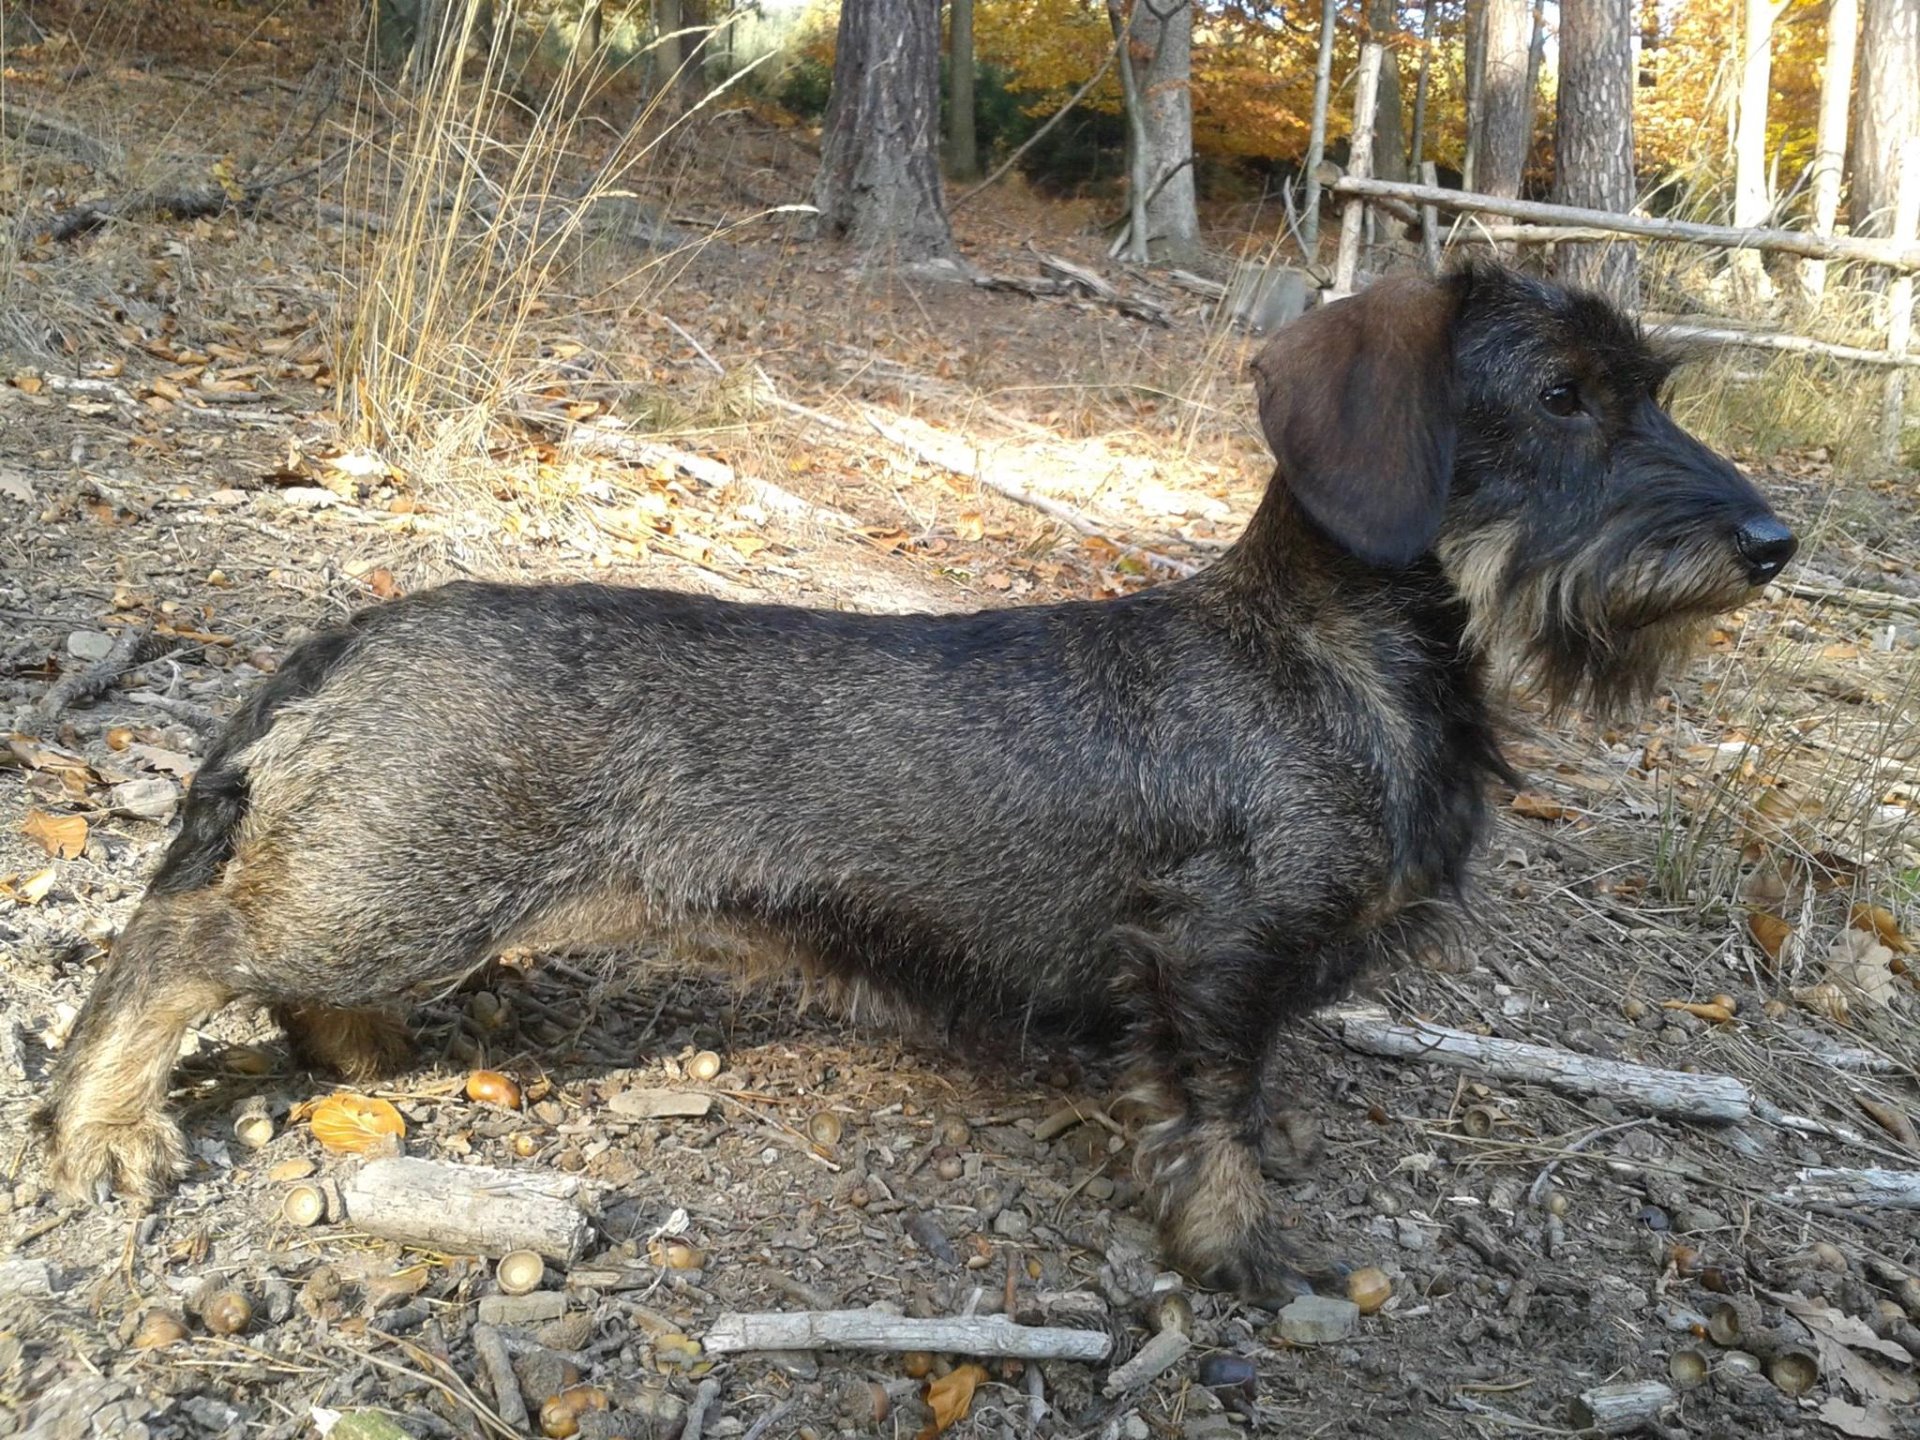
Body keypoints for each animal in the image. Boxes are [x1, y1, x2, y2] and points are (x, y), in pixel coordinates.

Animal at [37, 262, 1795, 1303]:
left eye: (1656, 387)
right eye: (1564, 395)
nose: (1777, 543)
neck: (1329, 657)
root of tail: (352, 633)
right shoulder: (1212, 961)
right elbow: (1214, 1119)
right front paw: (1235, 1252)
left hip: (390, 893)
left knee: (274, 972)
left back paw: (360, 1052)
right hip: (400, 891)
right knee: (181, 946)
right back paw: (109, 1127)